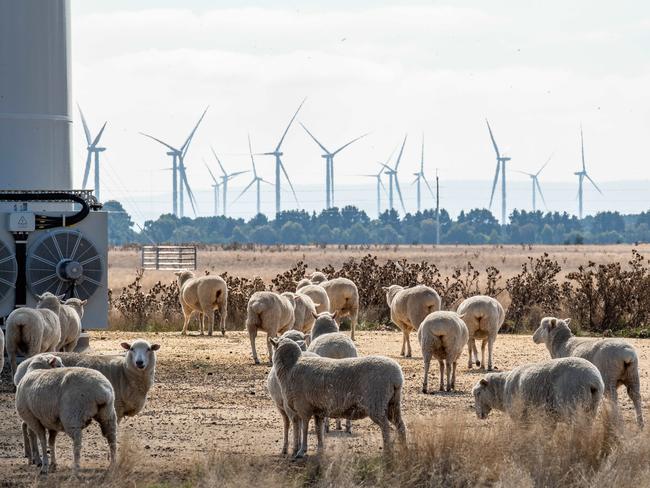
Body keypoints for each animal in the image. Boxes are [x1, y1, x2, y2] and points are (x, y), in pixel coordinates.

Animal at [270, 336, 402, 458]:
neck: (290, 368)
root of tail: (397, 376)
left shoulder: (303, 408)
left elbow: (305, 428)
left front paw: (301, 451)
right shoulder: (318, 410)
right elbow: (318, 430)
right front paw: (320, 449)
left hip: (376, 404)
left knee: (385, 427)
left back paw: (387, 452)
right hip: (393, 404)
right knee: (400, 425)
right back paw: (404, 449)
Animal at [470, 356, 604, 422]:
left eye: (478, 393)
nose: (478, 415)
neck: (502, 388)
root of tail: (593, 381)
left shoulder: (519, 415)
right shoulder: (547, 418)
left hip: (572, 405)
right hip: (591, 409)